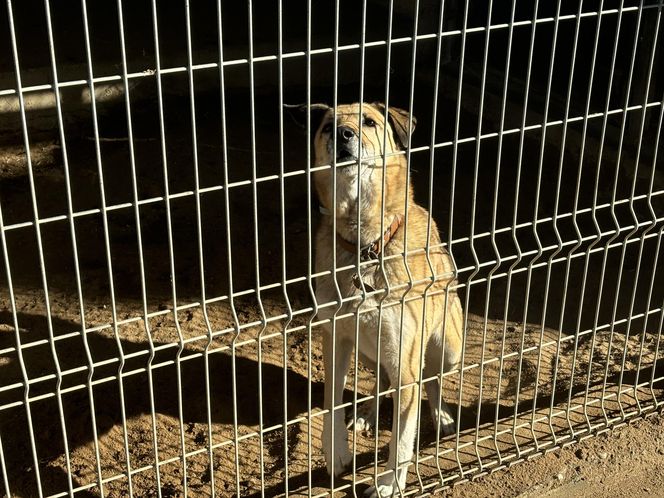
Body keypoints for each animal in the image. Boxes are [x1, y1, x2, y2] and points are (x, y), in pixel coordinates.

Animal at [290, 103, 462, 496]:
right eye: (327, 126)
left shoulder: (406, 359)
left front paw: (389, 483)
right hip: (368, 353)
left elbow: (401, 437)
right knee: (380, 381)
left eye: (369, 122)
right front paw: (336, 450)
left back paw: (442, 415)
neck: (365, 249)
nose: (344, 134)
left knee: (431, 379)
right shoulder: (335, 338)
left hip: (448, 348)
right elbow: (331, 401)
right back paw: (368, 415)